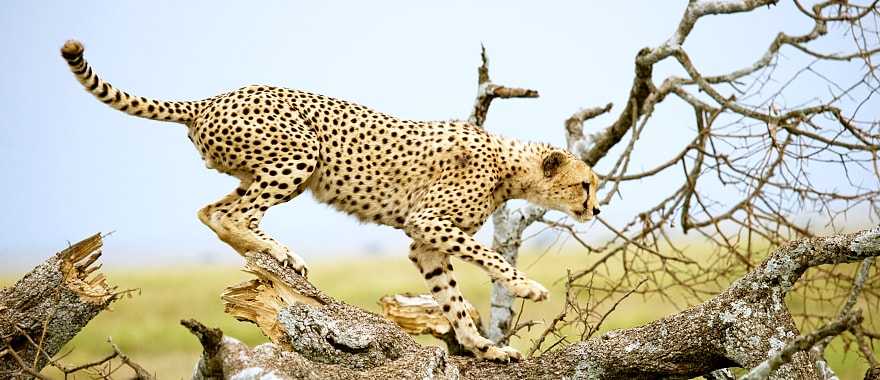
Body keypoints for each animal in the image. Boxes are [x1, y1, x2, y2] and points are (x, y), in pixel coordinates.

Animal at [60, 39, 600, 362]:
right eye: (584, 185)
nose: (597, 209)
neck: (510, 166)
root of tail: (212, 98)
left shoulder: (424, 242)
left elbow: (452, 298)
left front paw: (482, 347)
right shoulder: (428, 221)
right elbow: (488, 257)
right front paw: (527, 287)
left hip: (259, 167)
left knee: (211, 210)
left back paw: (268, 252)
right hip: (300, 154)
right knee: (235, 213)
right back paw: (279, 252)